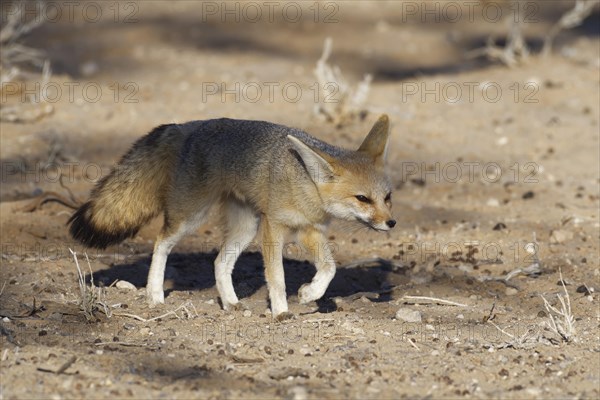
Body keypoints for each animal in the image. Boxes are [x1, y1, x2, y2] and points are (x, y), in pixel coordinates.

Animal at [68, 114, 396, 320]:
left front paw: (309, 293)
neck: (303, 184)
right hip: (192, 217)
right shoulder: (274, 226)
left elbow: (330, 268)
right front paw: (281, 312)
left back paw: (230, 302)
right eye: (362, 199)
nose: (391, 222)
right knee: (161, 243)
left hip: (245, 228)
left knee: (219, 262)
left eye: (387, 197)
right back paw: (155, 295)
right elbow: (276, 277)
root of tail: (188, 125)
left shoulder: (309, 230)